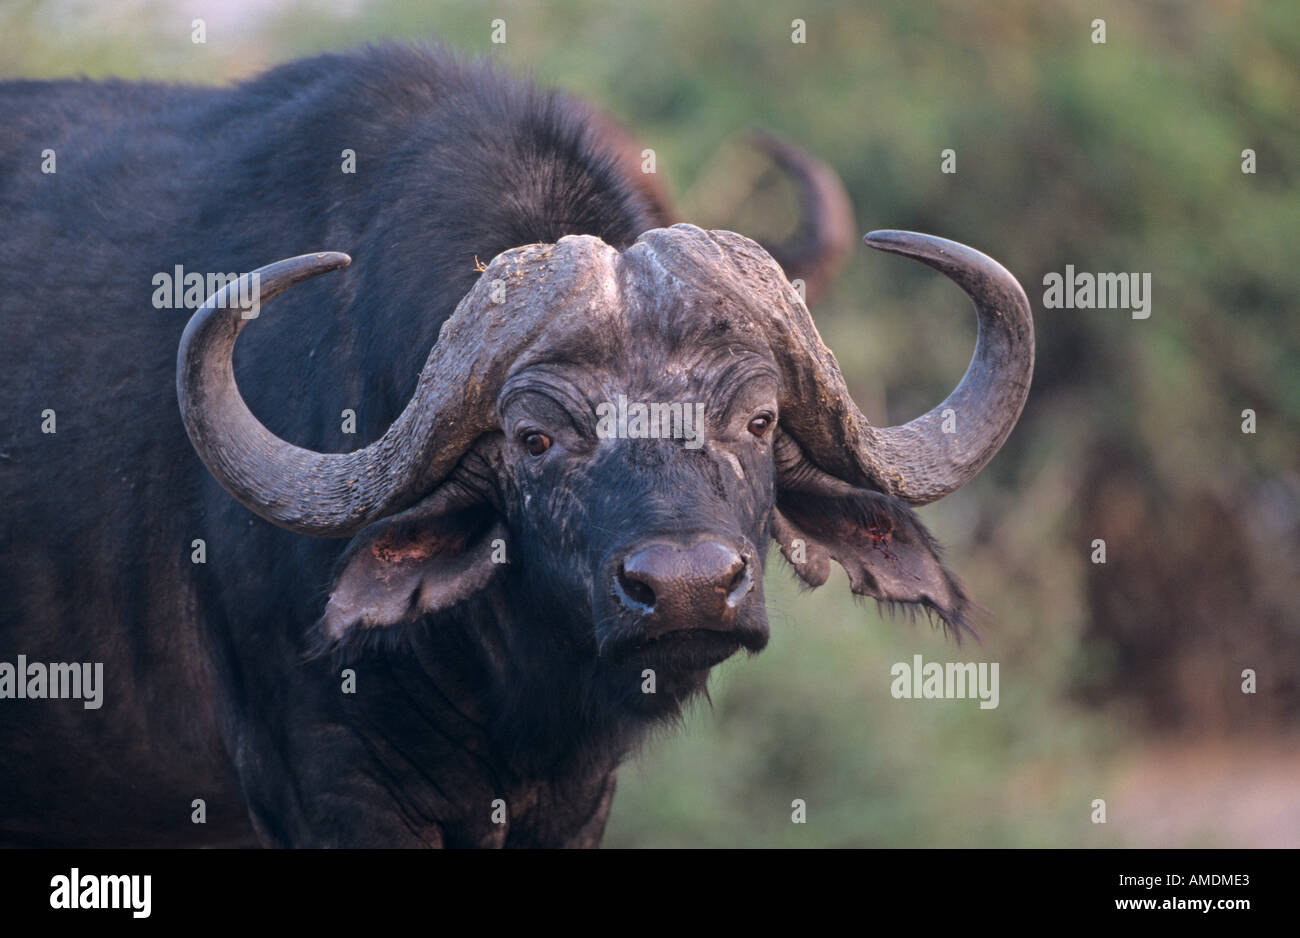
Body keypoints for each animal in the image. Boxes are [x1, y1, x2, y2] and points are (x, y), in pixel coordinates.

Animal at [0, 43, 1032, 846]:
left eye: (760, 422)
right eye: (534, 438)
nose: (690, 587)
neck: (501, 684)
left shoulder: (574, 802)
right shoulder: (328, 787)